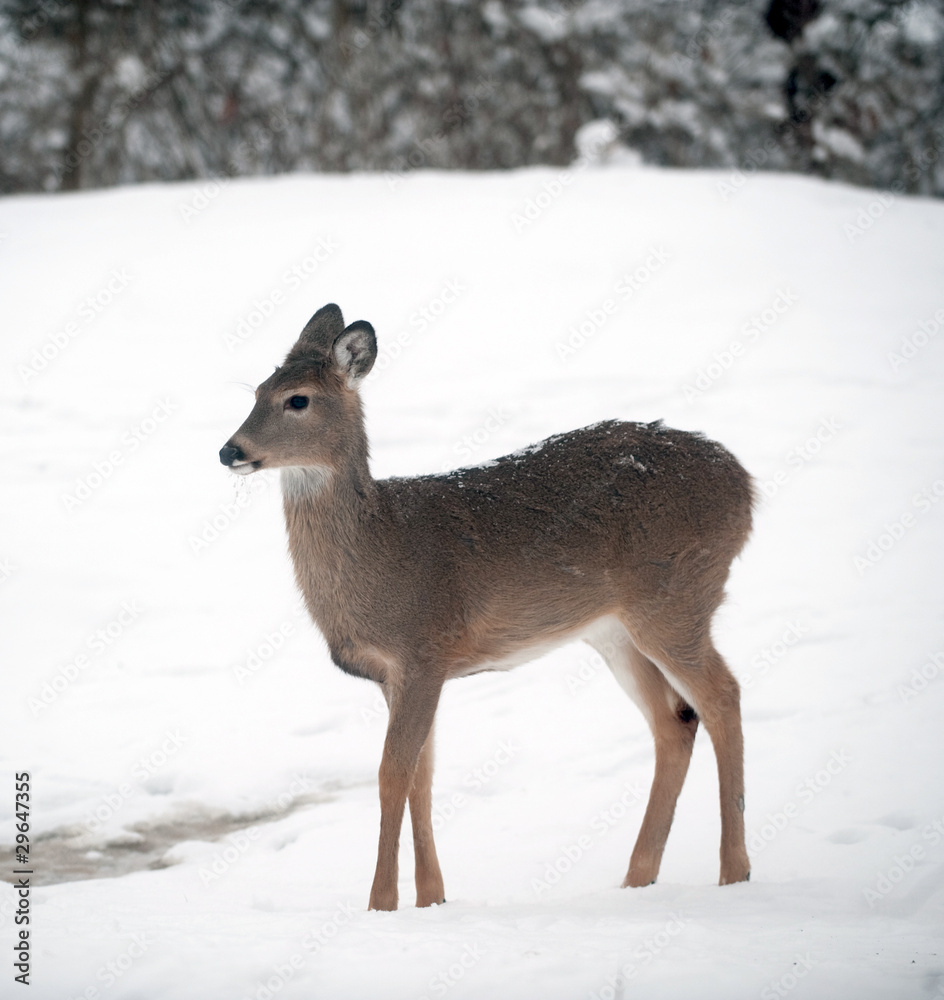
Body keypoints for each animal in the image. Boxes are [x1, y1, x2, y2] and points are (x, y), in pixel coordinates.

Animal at [219, 303, 755, 911]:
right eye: (257, 390)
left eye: (298, 399)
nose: (230, 450)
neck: (381, 557)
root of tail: (746, 484)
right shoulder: (395, 675)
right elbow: (421, 776)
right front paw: (432, 900)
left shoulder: (424, 650)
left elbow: (392, 773)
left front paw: (381, 904)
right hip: (614, 629)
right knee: (674, 721)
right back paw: (638, 877)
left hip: (677, 598)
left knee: (722, 697)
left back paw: (734, 871)